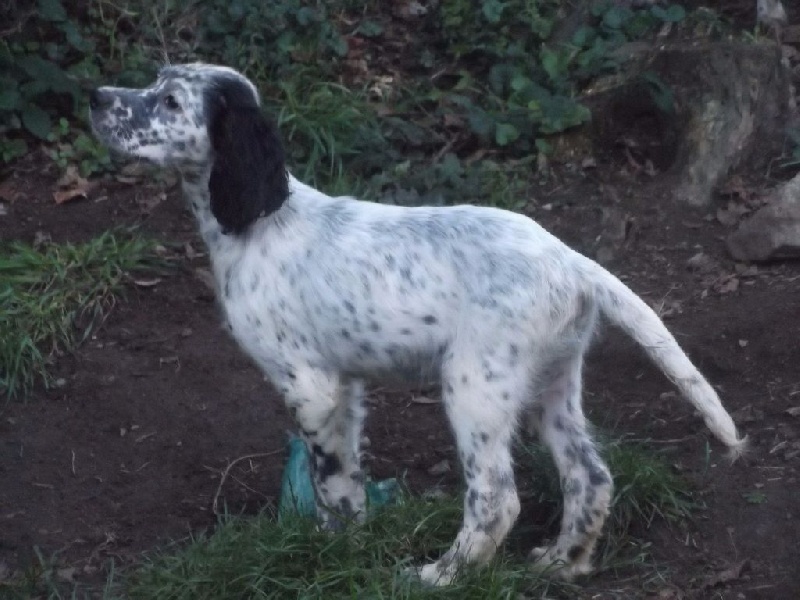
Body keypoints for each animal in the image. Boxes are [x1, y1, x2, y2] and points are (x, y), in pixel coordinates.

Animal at [90, 63, 746, 585]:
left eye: (170, 101)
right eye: (153, 80)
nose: (96, 97)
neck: (261, 222)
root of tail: (572, 261)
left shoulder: (310, 385)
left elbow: (329, 481)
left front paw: (334, 551)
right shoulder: (344, 387)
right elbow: (349, 479)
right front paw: (346, 541)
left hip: (475, 386)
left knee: (495, 499)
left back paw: (441, 575)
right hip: (551, 380)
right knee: (591, 475)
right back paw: (565, 562)